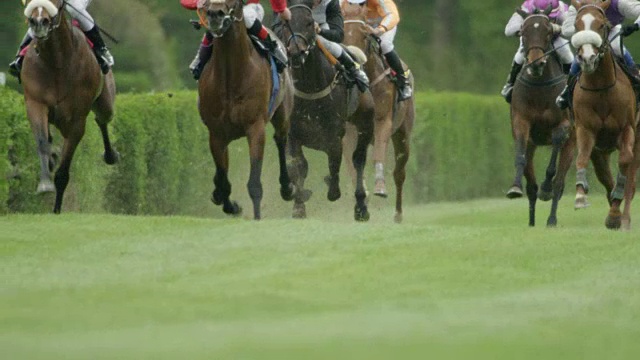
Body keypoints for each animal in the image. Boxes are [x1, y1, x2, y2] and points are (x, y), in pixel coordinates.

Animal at [20, 0, 118, 214]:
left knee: (102, 120)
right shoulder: (35, 103)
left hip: (105, 102)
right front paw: (45, 183)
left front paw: (57, 209)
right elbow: (42, 142)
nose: (38, 22)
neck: (56, 61)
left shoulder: (77, 120)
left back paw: (110, 155)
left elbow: (63, 172)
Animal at [198, 0, 296, 219]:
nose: (215, 14)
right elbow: (224, 179)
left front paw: (257, 217)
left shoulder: (255, 128)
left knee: (281, 140)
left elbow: (254, 183)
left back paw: (287, 187)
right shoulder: (216, 133)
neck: (231, 76)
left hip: (283, 112)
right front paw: (230, 204)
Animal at [342, 2, 418, 222]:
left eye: (364, 35)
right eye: (343, 33)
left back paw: (398, 214)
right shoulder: (349, 128)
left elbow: (378, 155)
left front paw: (379, 187)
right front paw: (362, 200)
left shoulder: (383, 121)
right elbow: (351, 163)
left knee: (399, 173)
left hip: (403, 133)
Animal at [504, 7, 576, 226]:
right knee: (532, 187)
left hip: (572, 146)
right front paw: (514, 187)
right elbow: (520, 154)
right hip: (533, 145)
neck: (540, 86)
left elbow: (557, 139)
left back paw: (551, 218)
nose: (536, 63)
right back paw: (532, 222)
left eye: (547, 32)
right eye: (523, 33)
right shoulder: (521, 121)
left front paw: (547, 187)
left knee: (559, 183)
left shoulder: (565, 124)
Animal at [572, 0, 636, 231]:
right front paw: (580, 196)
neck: (601, 88)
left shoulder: (627, 129)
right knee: (605, 176)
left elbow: (625, 162)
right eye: (576, 25)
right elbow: (581, 157)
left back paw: (623, 218)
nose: (587, 58)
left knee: (631, 179)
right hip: (601, 150)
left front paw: (616, 215)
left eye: (602, 25)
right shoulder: (585, 128)